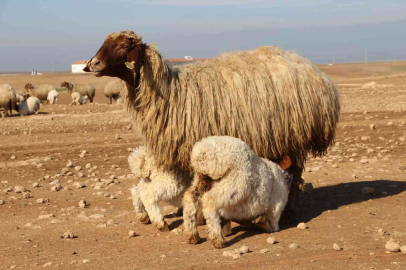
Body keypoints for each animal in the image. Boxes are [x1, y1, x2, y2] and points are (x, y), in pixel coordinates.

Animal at [84, 30, 340, 220]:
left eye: (122, 47)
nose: (91, 64)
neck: (171, 90)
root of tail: (315, 71)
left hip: (297, 136)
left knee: (295, 173)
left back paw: (291, 208)